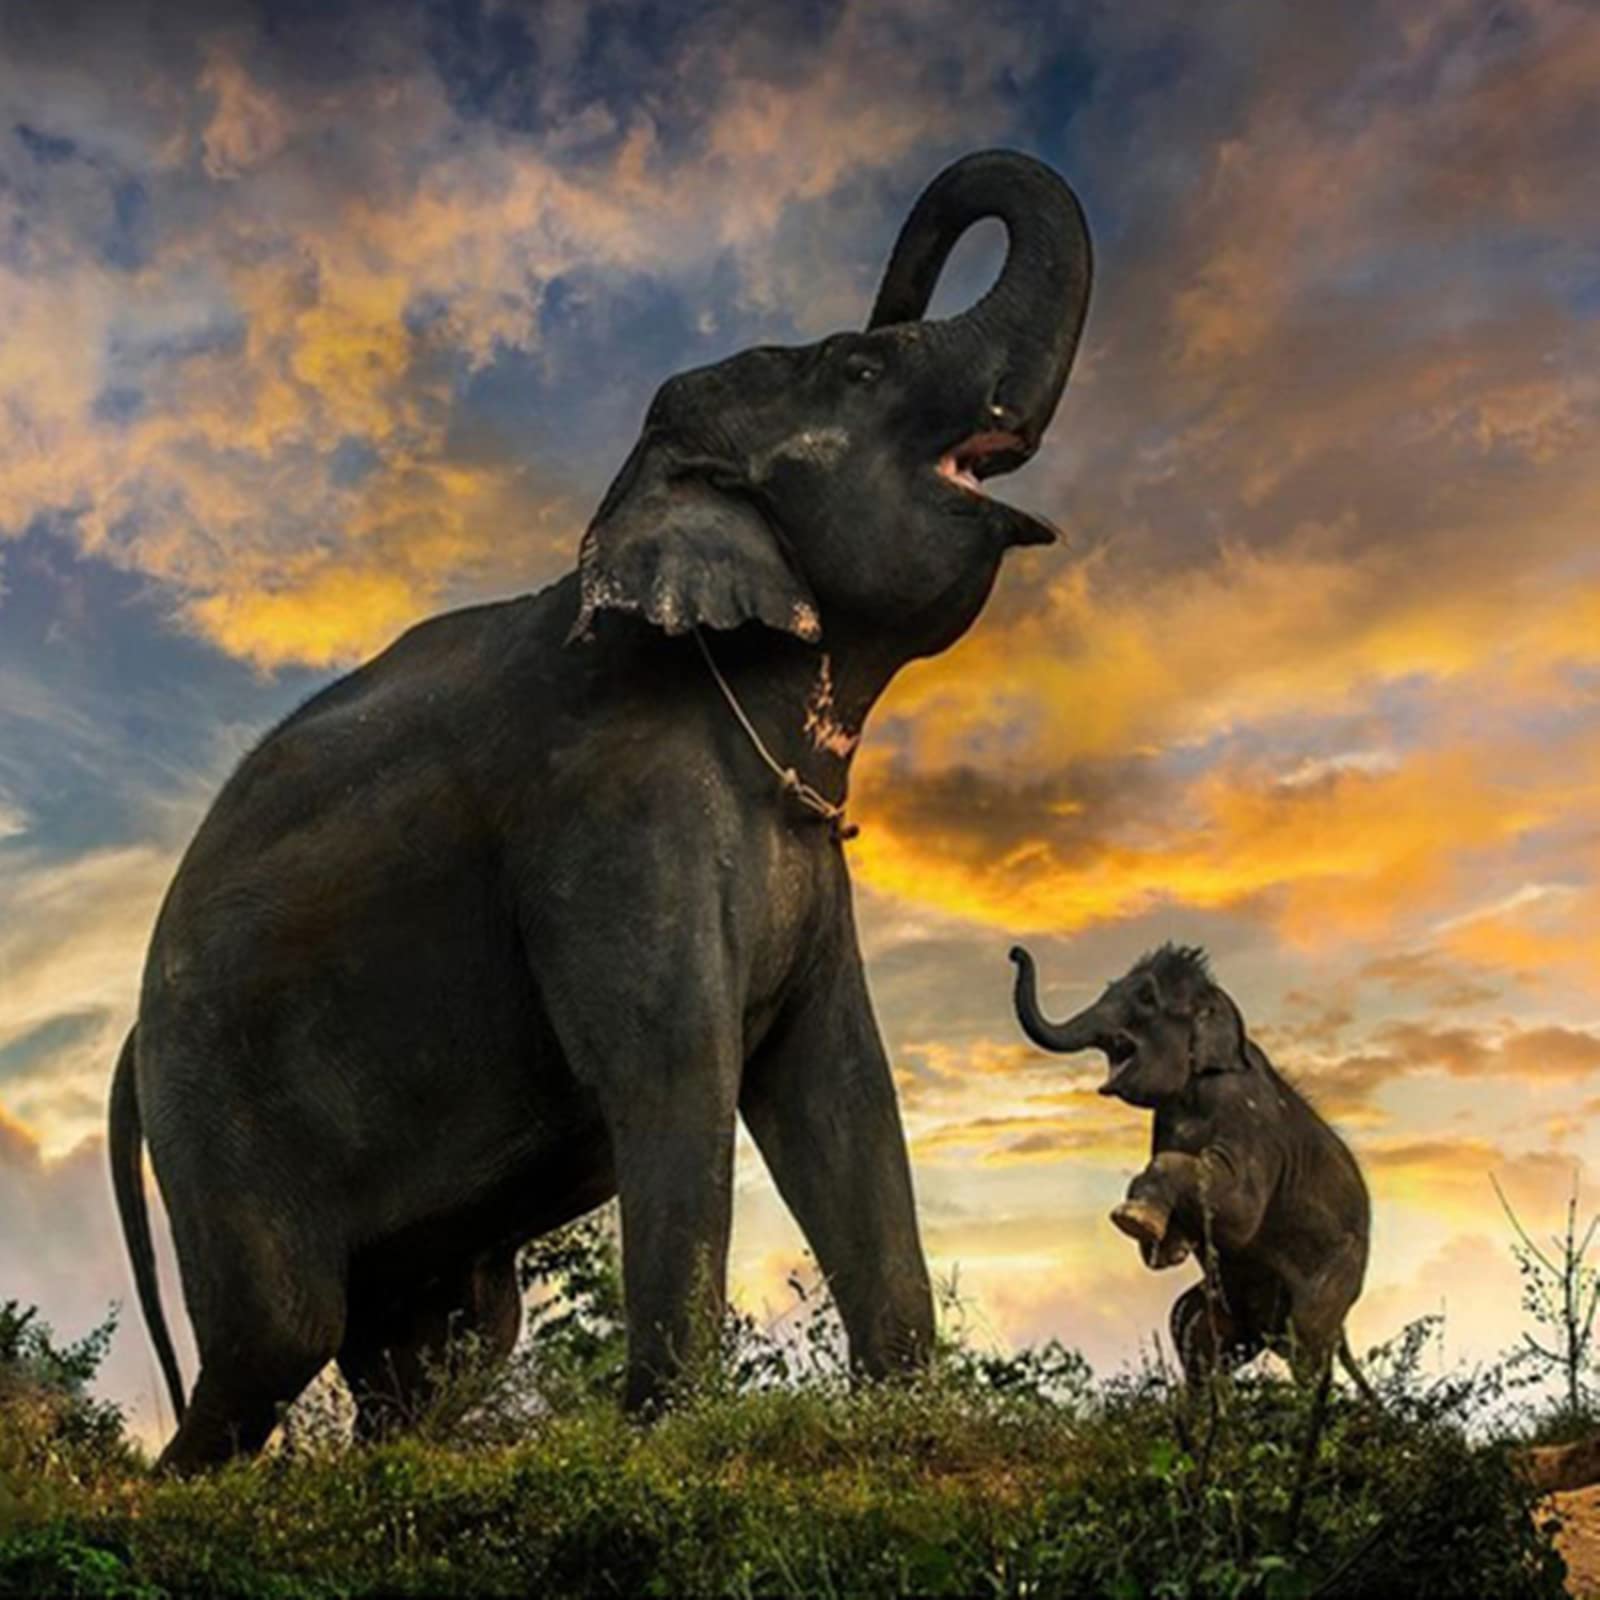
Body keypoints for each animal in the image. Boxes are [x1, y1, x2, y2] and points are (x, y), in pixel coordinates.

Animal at [109, 149, 1094, 1472]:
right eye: (860, 367)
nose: (891, 284)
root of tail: (127, 1044)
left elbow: (840, 1087)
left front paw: (913, 1421)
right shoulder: (611, 819)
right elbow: (676, 1065)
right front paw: (671, 1437)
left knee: (441, 1340)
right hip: (212, 1100)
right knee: (278, 1330)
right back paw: (179, 1481)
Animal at [1009, 944, 1372, 1395]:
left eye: (1147, 997)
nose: (1015, 952)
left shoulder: (1248, 1115)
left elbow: (1241, 1212)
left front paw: (1133, 1220)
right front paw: (1163, 1245)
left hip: (1337, 1273)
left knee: (1306, 1340)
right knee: (1188, 1324)